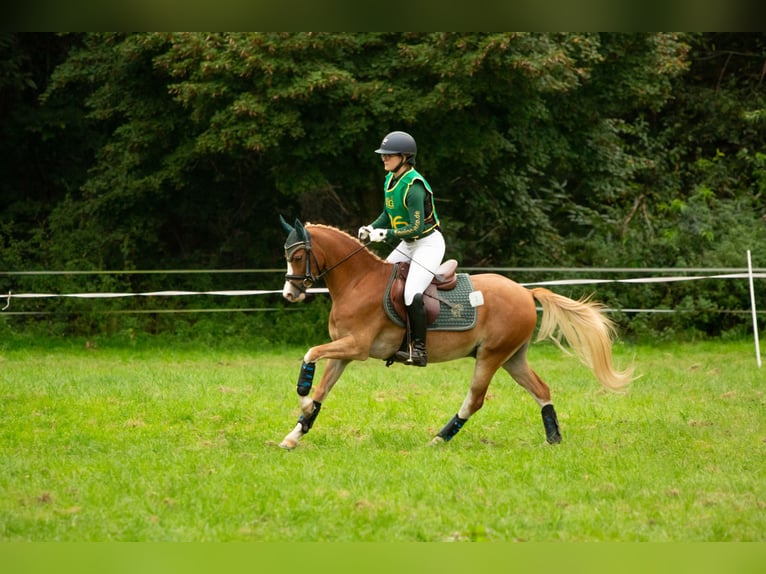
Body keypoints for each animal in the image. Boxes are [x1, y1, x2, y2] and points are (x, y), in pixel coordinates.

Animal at [280, 220, 632, 450]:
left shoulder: (357, 347)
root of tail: (524, 291)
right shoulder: (344, 352)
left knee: (475, 400)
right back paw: (553, 438)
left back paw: (439, 438)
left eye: (296, 257)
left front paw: (302, 399)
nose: (289, 294)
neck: (357, 281)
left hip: (491, 356)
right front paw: (296, 432)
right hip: (512, 357)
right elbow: (322, 389)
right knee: (541, 389)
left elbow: (310, 354)